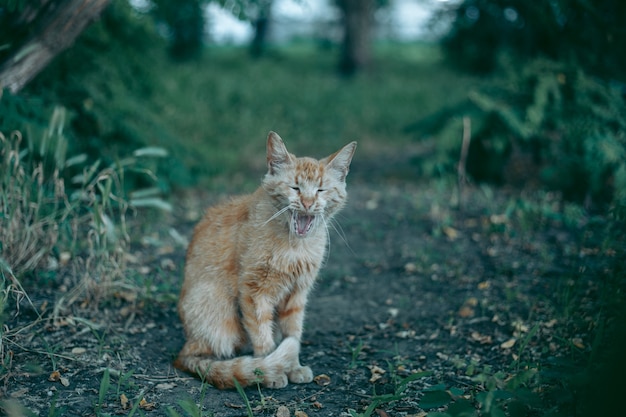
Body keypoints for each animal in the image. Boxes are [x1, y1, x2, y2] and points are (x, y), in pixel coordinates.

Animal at [174, 132, 356, 388]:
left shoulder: (297, 294)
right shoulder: (254, 292)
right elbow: (263, 336)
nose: (308, 203)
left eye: (321, 190)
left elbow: (292, 333)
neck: (295, 246)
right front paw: (269, 370)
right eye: (295, 187)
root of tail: (184, 349)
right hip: (216, 311)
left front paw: (293, 367)